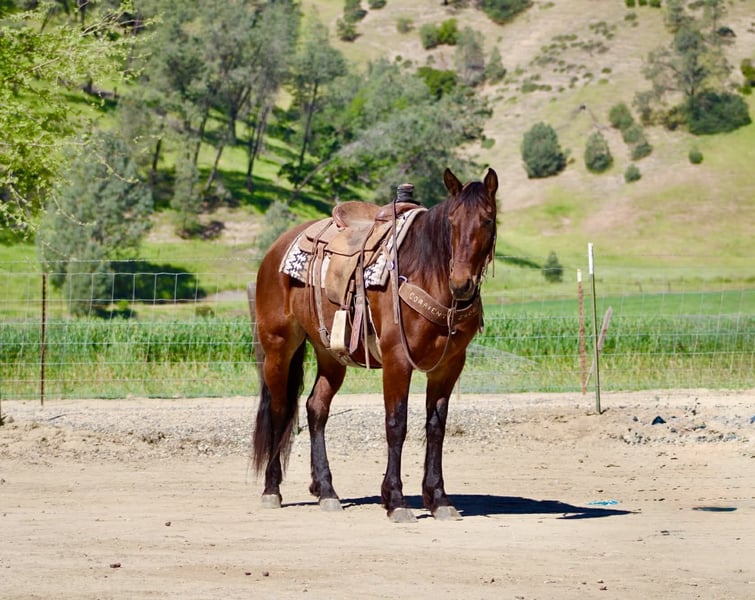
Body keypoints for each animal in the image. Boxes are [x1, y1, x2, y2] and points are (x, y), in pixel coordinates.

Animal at [250, 168, 498, 522]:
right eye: (451, 221)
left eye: (487, 220)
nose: (461, 283)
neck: (426, 272)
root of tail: (277, 247)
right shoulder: (397, 360)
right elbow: (396, 424)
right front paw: (395, 499)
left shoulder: (449, 366)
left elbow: (436, 427)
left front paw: (439, 498)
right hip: (278, 346)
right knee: (280, 409)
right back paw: (272, 489)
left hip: (330, 353)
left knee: (315, 408)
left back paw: (326, 491)